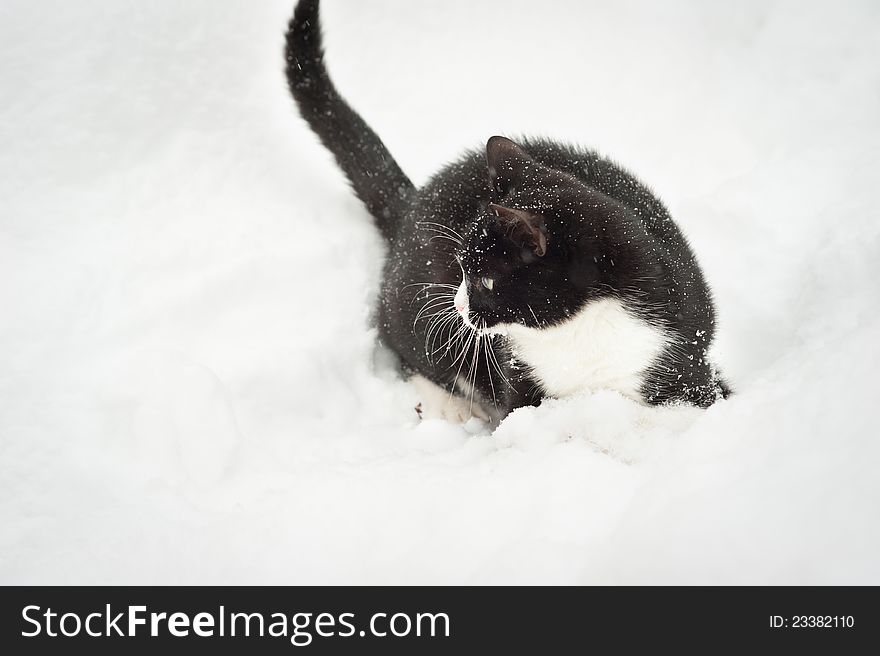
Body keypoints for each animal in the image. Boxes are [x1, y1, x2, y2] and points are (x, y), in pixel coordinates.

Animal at [288, 0, 728, 420]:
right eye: (462, 269)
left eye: (485, 281)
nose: (457, 306)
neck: (577, 333)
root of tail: (414, 200)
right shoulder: (517, 375)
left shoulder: (684, 359)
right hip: (414, 303)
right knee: (401, 337)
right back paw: (449, 405)